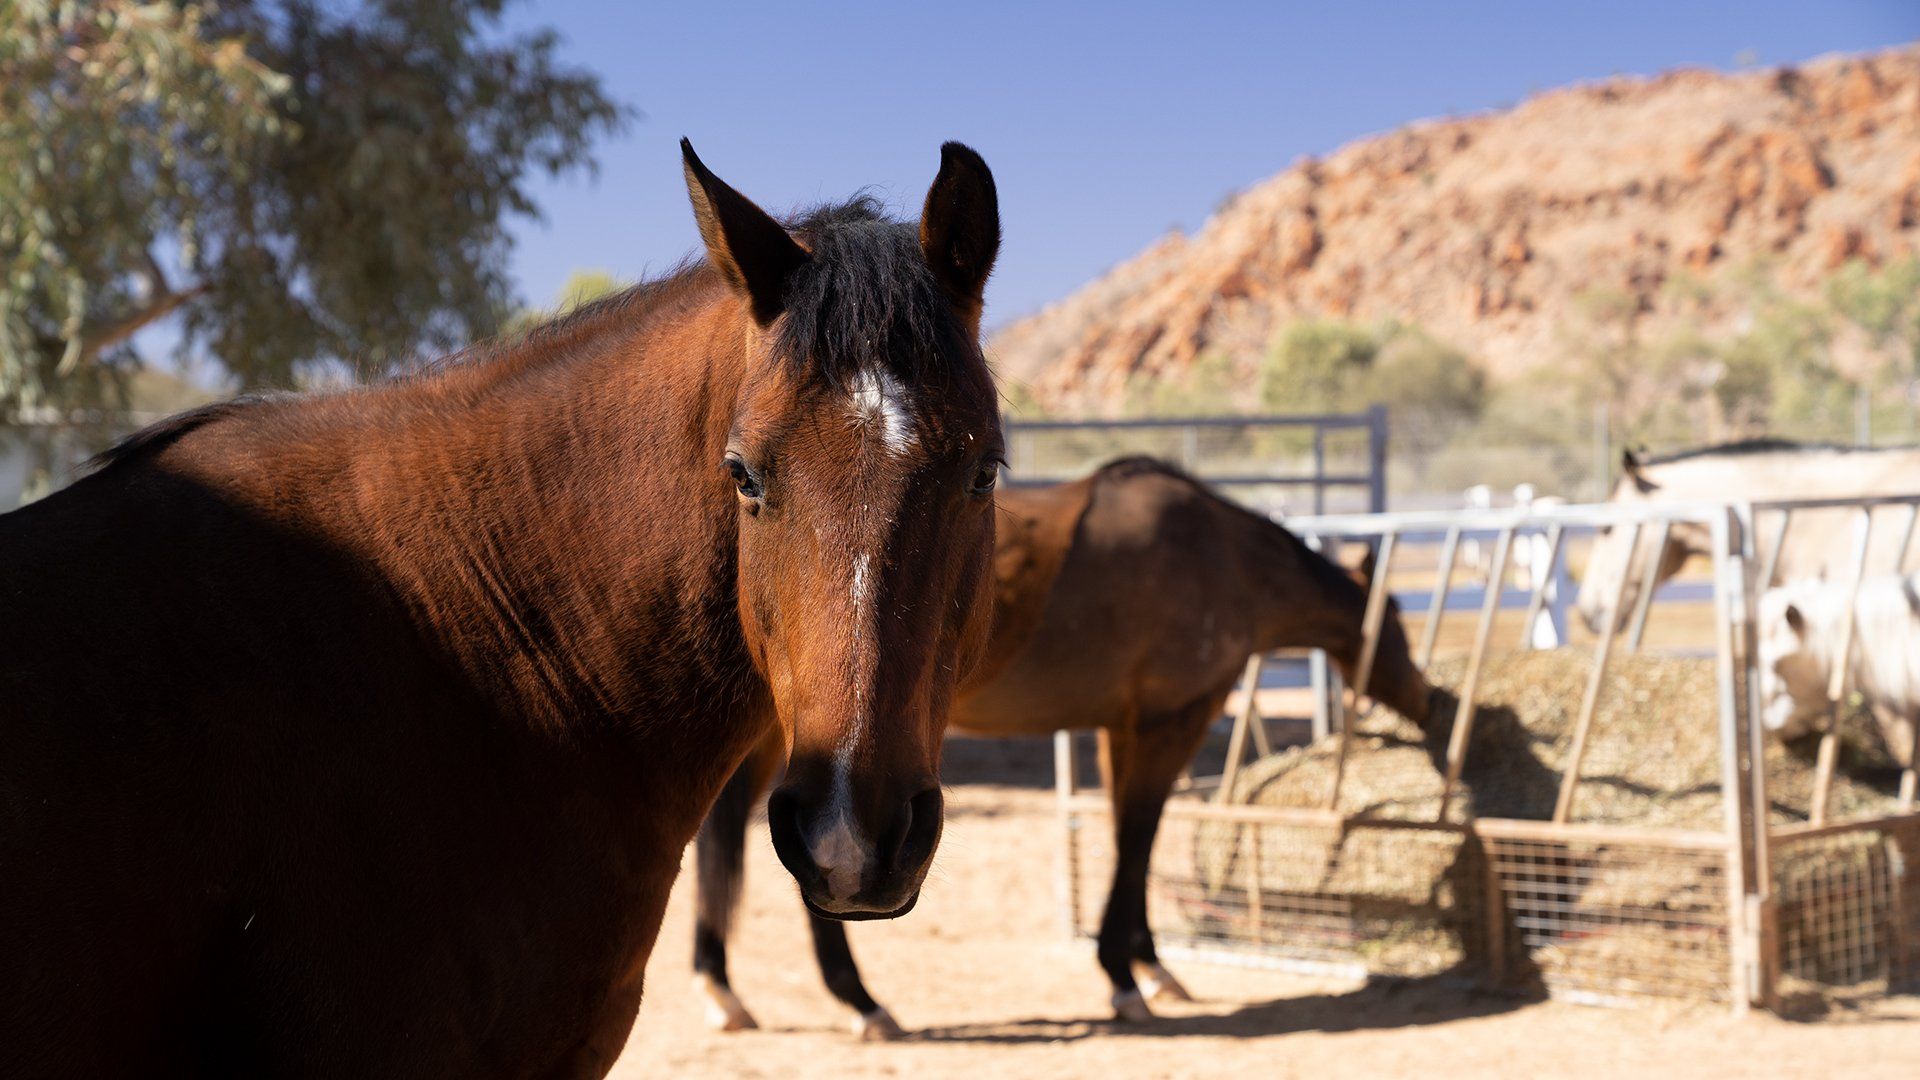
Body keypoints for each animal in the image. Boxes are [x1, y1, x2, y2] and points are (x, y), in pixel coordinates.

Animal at [690, 457, 1434, 1036]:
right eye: (1397, 617)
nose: (1430, 699)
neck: (1221, 555)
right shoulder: (1171, 722)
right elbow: (1137, 839)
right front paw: (1125, 978)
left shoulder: (1121, 728)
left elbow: (1128, 838)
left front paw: (1150, 965)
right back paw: (859, 1002)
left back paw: (723, 988)